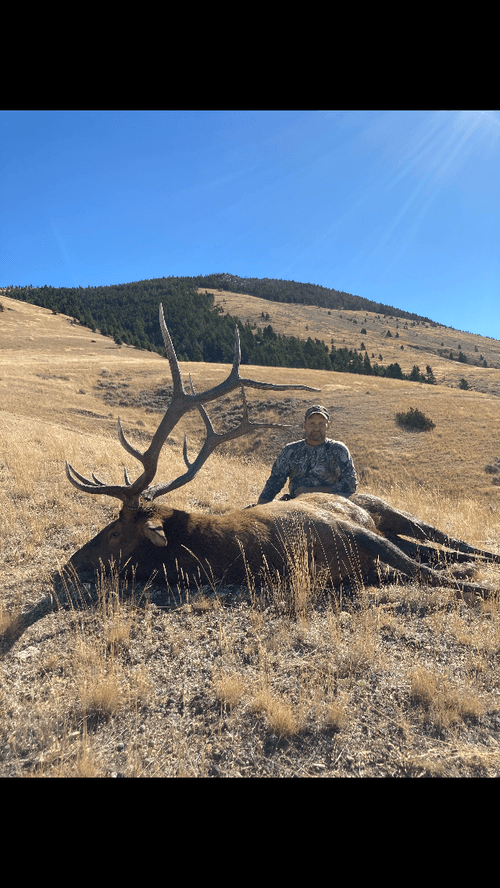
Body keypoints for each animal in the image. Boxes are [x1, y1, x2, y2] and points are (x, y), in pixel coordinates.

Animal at [60, 305, 500, 604]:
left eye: (113, 531)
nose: (70, 563)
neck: (237, 552)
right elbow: (424, 569)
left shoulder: (354, 531)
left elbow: (438, 572)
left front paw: (480, 585)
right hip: (387, 532)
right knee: (432, 552)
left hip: (389, 512)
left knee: (448, 542)